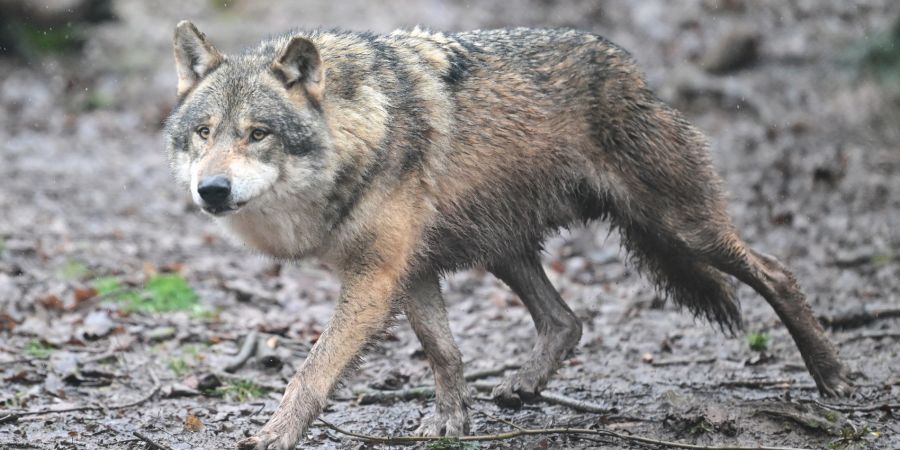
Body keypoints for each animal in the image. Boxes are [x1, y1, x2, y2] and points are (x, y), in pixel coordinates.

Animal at [164, 21, 851, 449]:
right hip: (504, 249)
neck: (361, 130)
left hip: (682, 229)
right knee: (566, 320)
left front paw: (274, 434)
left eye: (257, 134)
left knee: (776, 271)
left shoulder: (376, 276)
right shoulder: (412, 270)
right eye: (204, 132)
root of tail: (631, 68)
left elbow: (312, 370)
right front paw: (449, 425)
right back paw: (523, 386)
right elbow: (444, 352)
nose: (212, 190)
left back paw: (833, 378)